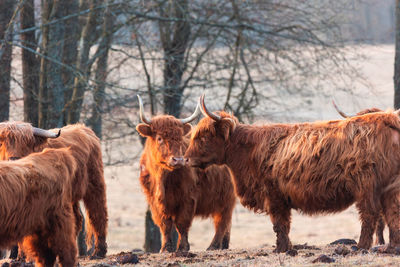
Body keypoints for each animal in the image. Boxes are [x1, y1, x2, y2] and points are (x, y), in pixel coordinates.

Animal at [0, 122, 108, 258]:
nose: (14, 158)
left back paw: (99, 251)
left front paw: (24, 256)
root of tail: (84, 128)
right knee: (77, 220)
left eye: (26, 142)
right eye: (1, 142)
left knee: (98, 213)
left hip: (95, 183)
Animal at [136, 96, 236, 253]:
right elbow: (165, 224)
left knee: (222, 221)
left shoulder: (188, 198)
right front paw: (165, 248)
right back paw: (224, 245)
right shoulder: (154, 202)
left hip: (226, 198)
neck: (163, 178)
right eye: (159, 138)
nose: (178, 159)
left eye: (179, 137)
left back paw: (213, 246)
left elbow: (181, 224)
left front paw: (183, 248)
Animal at [184, 96, 400, 253]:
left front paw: (281, 249)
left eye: (203, 137)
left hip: (367, 186)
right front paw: (287, 248)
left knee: (369, 215)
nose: (185, 159)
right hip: (389, 188)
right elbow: (284, 225)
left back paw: (361, 247)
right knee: (392, 213)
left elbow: (279, 224)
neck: (248, 151)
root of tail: (387, 117)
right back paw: (391, 248)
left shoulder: (273, 195)